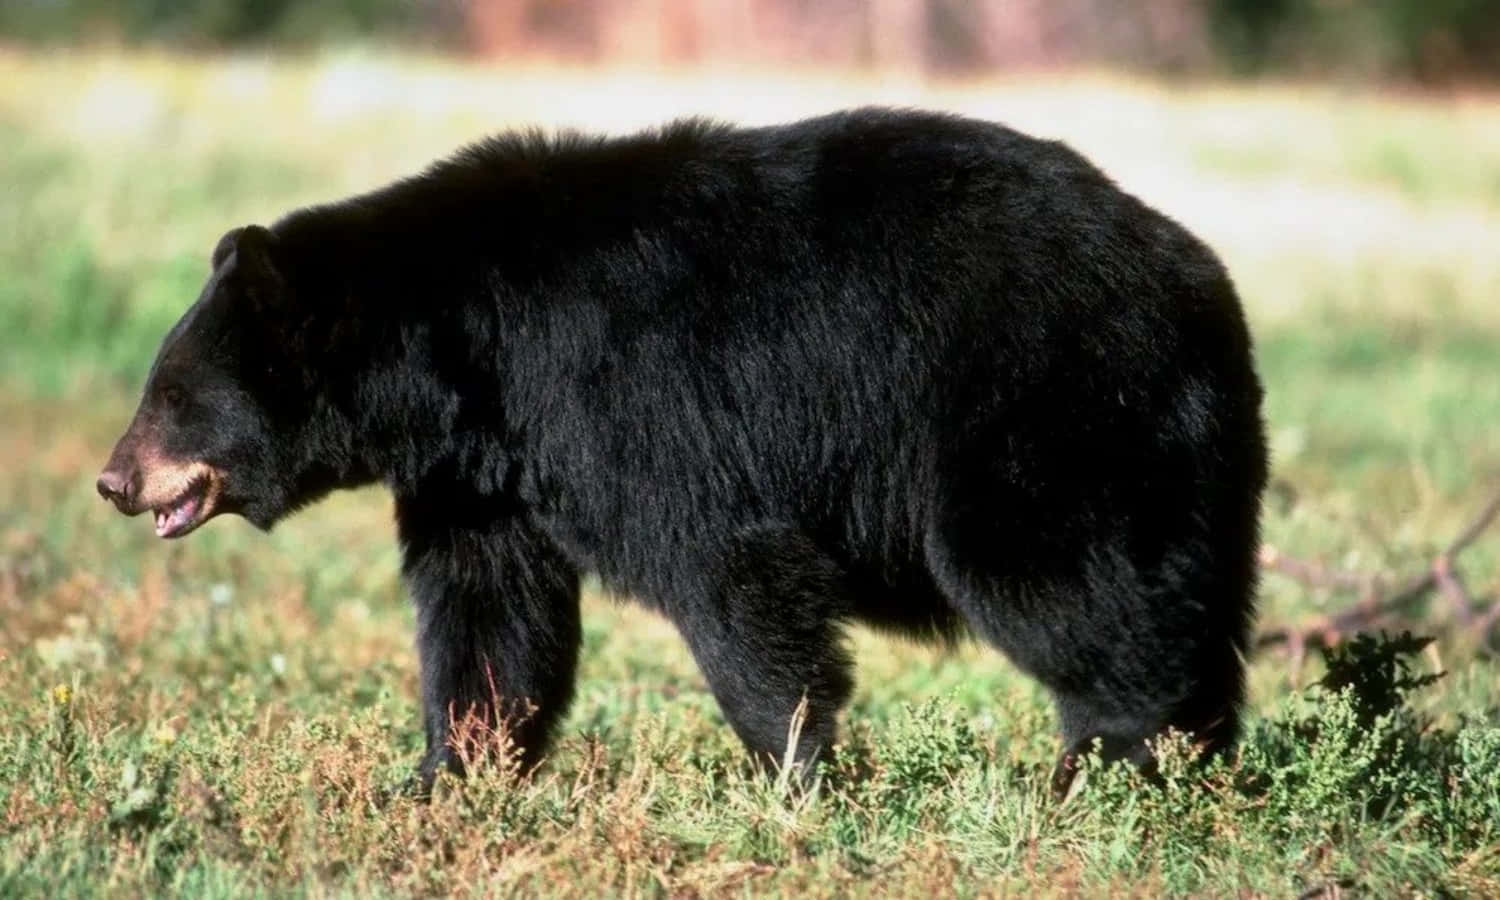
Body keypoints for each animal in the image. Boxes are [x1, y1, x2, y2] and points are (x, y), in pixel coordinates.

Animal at [97, 107, 1267, 797]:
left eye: (173, 394)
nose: (115, 479)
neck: (464, 351)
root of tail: (1202, 278)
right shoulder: (480, 474)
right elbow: (489, 613)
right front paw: (445, 777)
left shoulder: (627, 393)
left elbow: (726, 567)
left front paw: (795, 776)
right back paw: (1196, 761)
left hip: (1046, 403)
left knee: (1064, 582)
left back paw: (1110, 766)